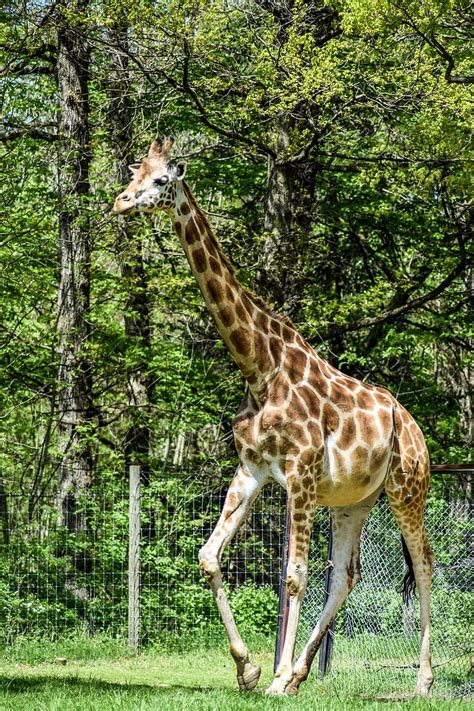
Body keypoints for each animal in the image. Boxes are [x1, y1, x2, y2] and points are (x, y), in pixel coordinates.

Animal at [114, 138, 434, 696]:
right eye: (136, 173)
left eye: (160, 181)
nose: (120, 202)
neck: (259, 366)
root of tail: (414, 429)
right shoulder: (252, 469)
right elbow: (209, 556)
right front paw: (251, 669)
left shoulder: (300, 474)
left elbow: (292, 575)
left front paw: (275, 677)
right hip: (356, 501)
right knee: (346, 574)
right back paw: (304, 671)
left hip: (406, 489)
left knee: (423, 564)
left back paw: (421, 682)